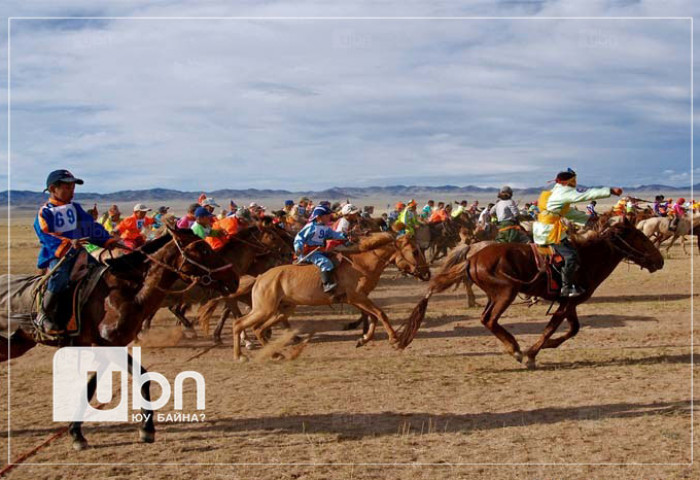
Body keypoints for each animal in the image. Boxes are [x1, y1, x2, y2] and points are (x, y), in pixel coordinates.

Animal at [0, 229, 238, 450]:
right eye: (203, 249)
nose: (233, 278)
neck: (126, 293)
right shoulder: (109, 347)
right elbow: (126, 381)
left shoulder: (107, 349)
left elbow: (96, 386)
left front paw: (80, 433)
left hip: (15, 345)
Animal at [232, 232, 432, 360]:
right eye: (415, 252)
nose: (427, 273)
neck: (362, 264)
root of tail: (260, 277)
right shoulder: (358, 297)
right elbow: (381, 314)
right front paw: (395, 339)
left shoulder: (356, 299)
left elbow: (372, 317)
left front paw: (363, 339)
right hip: (264, 309)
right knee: (239, 323)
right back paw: (240, 355)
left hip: (282, 310)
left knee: (258, 329)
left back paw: (274, 354)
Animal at [396, 219, 664, 370]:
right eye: (640, 237)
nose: (659, 260)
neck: (587, 257)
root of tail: (473, 256)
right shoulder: (567, 303)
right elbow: (551, 328)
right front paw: (531, 354)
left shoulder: (570, 302)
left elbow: (572, 329)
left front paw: (548, 346)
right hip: (507, 292)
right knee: (490, 320)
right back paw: (515, 350)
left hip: (495, 295)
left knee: (486, 318)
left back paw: (513, 347)